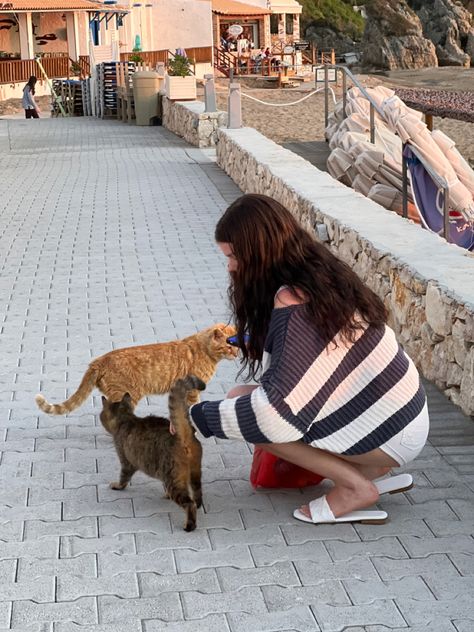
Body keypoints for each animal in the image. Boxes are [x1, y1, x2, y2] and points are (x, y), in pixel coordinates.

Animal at [35, 324, 237, 418]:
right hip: (128, 394)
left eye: (237, 345)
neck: (204, 349)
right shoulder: (193, 390)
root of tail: (98, 360)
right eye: (229, 346)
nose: (237, 353)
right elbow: (192, 407)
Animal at [100, 376, 206, 532]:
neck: (126, 419)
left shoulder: (126, 462)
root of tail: (182, 435)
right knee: (197, 494)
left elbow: (123, 478)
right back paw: (198, 505)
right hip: (195, 473)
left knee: (189, 504)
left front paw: (117, 486)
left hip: (173, 479)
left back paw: (189, 525)